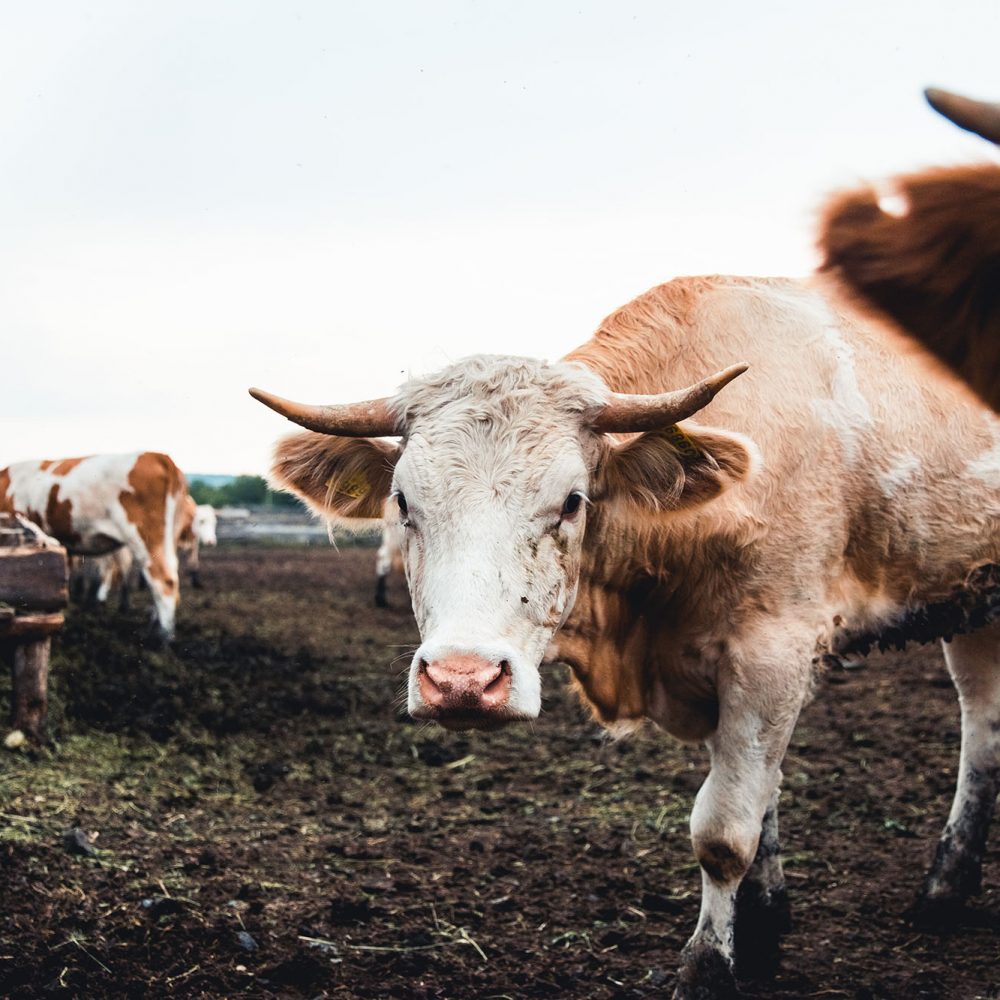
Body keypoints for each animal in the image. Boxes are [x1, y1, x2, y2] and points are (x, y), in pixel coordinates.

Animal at [250, 276, 1000, 1000]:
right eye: (404, 502)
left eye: (571, 501)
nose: (463, 680)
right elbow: (763, 799)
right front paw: (763, 936)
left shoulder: (773, 651)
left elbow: (726, 828)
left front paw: (708, 969)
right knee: (982, 720)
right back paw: (944, 891)